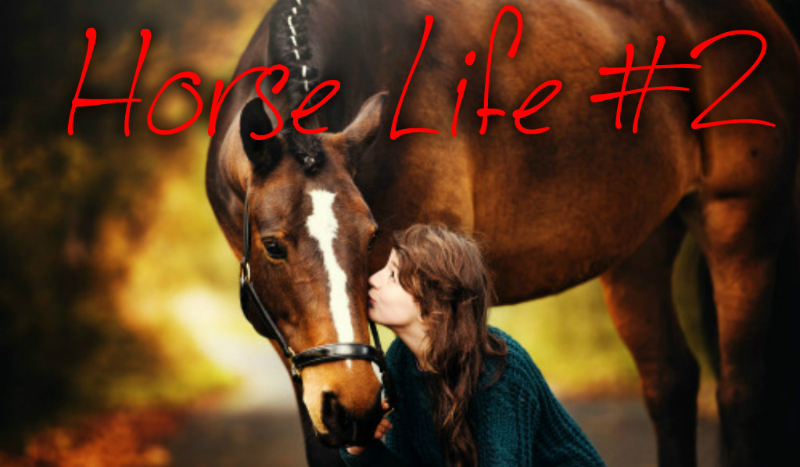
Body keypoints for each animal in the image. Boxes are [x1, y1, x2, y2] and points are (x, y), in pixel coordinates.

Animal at [206, 0, 799, 466]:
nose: (353, 403)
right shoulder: (296, 354)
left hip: (738, 230)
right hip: (640, 251)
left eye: (372, 237)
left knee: (739, 389)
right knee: (670, 382)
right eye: (273, 246)